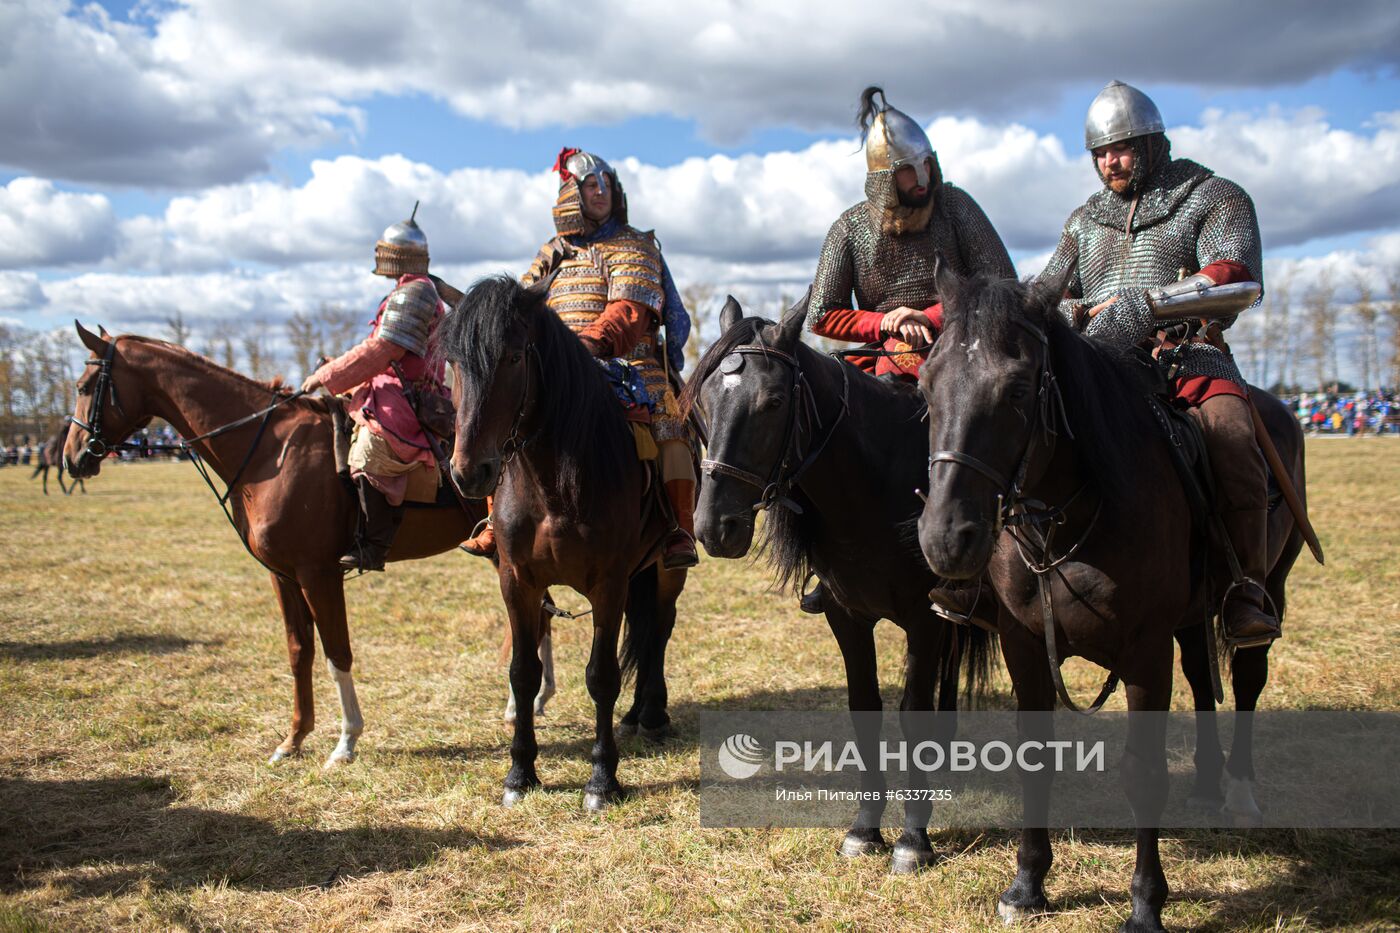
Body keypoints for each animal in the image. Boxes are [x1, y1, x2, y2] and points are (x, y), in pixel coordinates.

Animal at [680, 292, 996, 874]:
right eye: (702, 408)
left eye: (773, 403)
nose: (715, 528)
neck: (878, 483)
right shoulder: (846, 616)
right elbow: (865, 709)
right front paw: (864, 829)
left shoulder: (925, 621)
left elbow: (912, 715)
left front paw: (913, 840)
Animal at [912, 268, 1304, 930]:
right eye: (925, 383)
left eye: (1019, 388)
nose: (946, 538)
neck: (1067, 519)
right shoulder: (1024, 645)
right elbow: (1035, 756)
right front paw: (1028, 884)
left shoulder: (1145, 652)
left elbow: (1142, 773)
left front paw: (1145, 904)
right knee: (1202, 678)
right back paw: (1206, 782)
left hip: (1267, 586)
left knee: (1248, 676)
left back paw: (1239, 789)